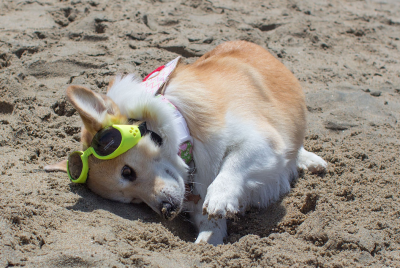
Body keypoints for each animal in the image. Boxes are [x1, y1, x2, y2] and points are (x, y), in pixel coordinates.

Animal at [47, 40, 328, 245]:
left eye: (127, 172)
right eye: (133, 201)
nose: (167, 211)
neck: (185, 133)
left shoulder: (262, 142)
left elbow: (232, 166)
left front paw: (219, 196)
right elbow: (210, 223)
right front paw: (206, 243)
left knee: (294, 147)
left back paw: (311, 161)